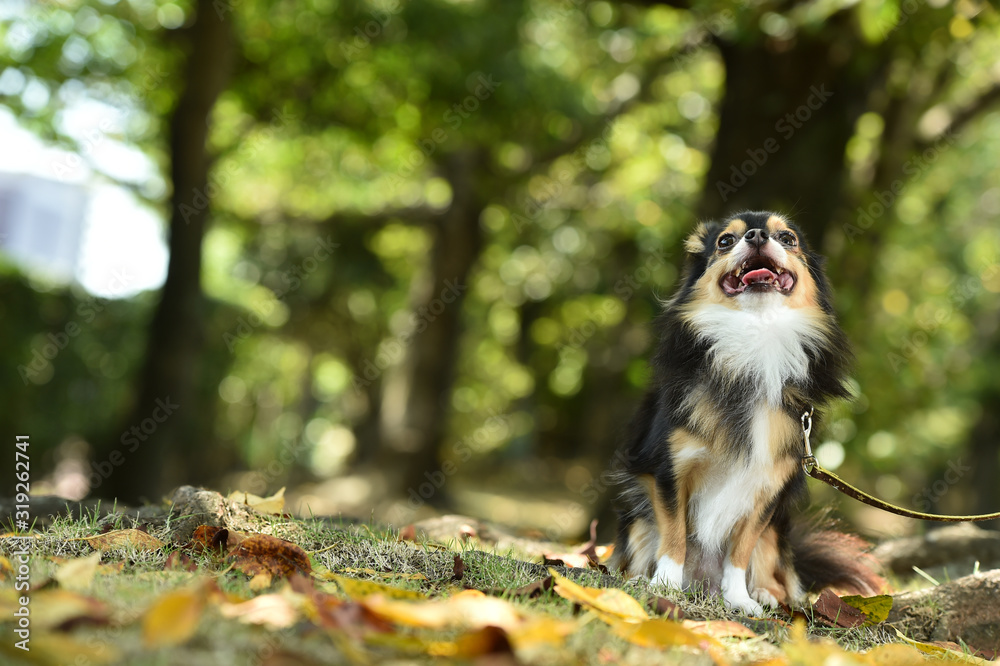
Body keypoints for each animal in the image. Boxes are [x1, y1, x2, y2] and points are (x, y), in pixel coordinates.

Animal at [609, 211, 884, 614]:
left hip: (775, 533)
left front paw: (739, 599)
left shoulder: (767, 488)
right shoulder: (670, 470)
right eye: (725, 241)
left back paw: (765, 594)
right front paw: (665, 583)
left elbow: (740, 551)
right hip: (638, 519)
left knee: (778, 575)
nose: (756, 235)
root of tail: (703, 585)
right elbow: (675, 534)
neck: (756, 336)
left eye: (787, 238)